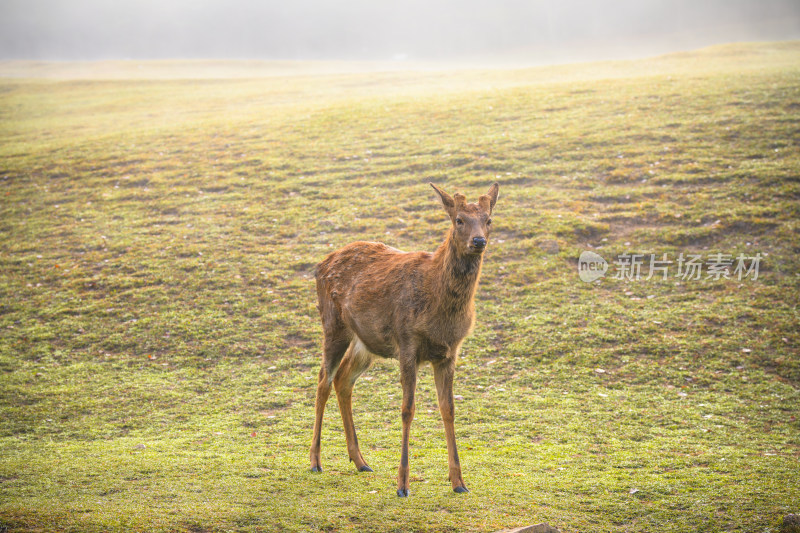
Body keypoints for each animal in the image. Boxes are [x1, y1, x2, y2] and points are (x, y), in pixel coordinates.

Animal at [308, 181, 500, 496]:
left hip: (366, 342)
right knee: (324, 379)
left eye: (489, 220)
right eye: (459, 220)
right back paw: (315, 461)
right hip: (332, 324)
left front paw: (459, 482)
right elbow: (407, 409)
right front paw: (402, 484)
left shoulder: (450, 352)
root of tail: (320, 264)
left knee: (343, 379)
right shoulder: (407, 342)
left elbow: (449, 409)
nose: (478, 241)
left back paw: (360, 461)